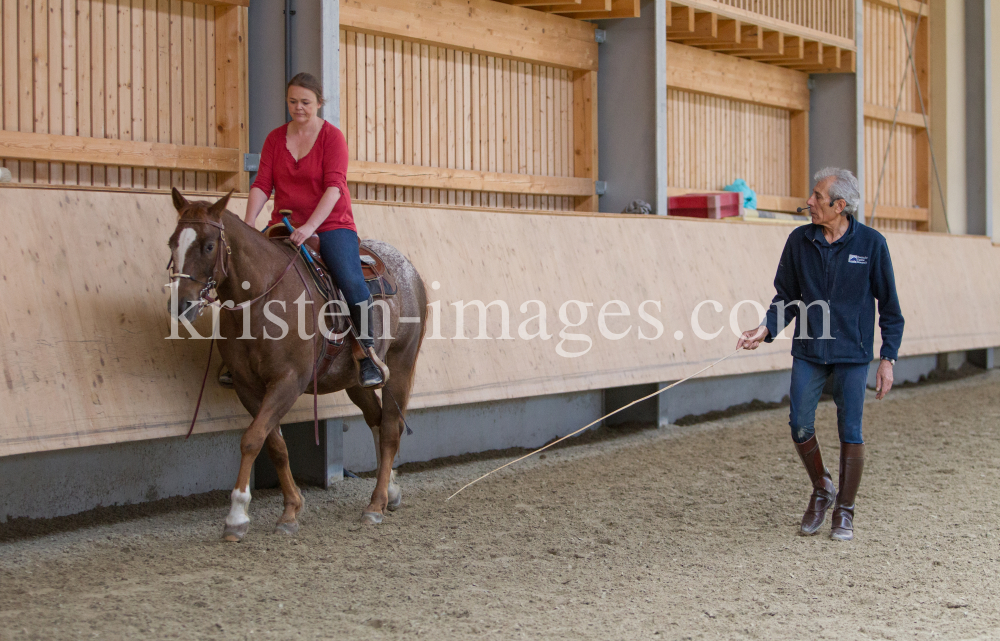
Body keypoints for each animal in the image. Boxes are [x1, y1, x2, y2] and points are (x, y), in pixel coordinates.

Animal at [165, 188, 430, 536]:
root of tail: (410, 270)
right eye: (172, 242)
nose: (181, 305)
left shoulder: (288, 381)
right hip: (354, 380)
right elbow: (273, 442)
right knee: (376, 419)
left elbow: (252, 439)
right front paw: (290, 508)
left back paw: (375, 505)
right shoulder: (247, 386)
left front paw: (237, 515)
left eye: (209, 245)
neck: (263, 297)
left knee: (389, 429)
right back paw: (390, 492)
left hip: (400, 365)